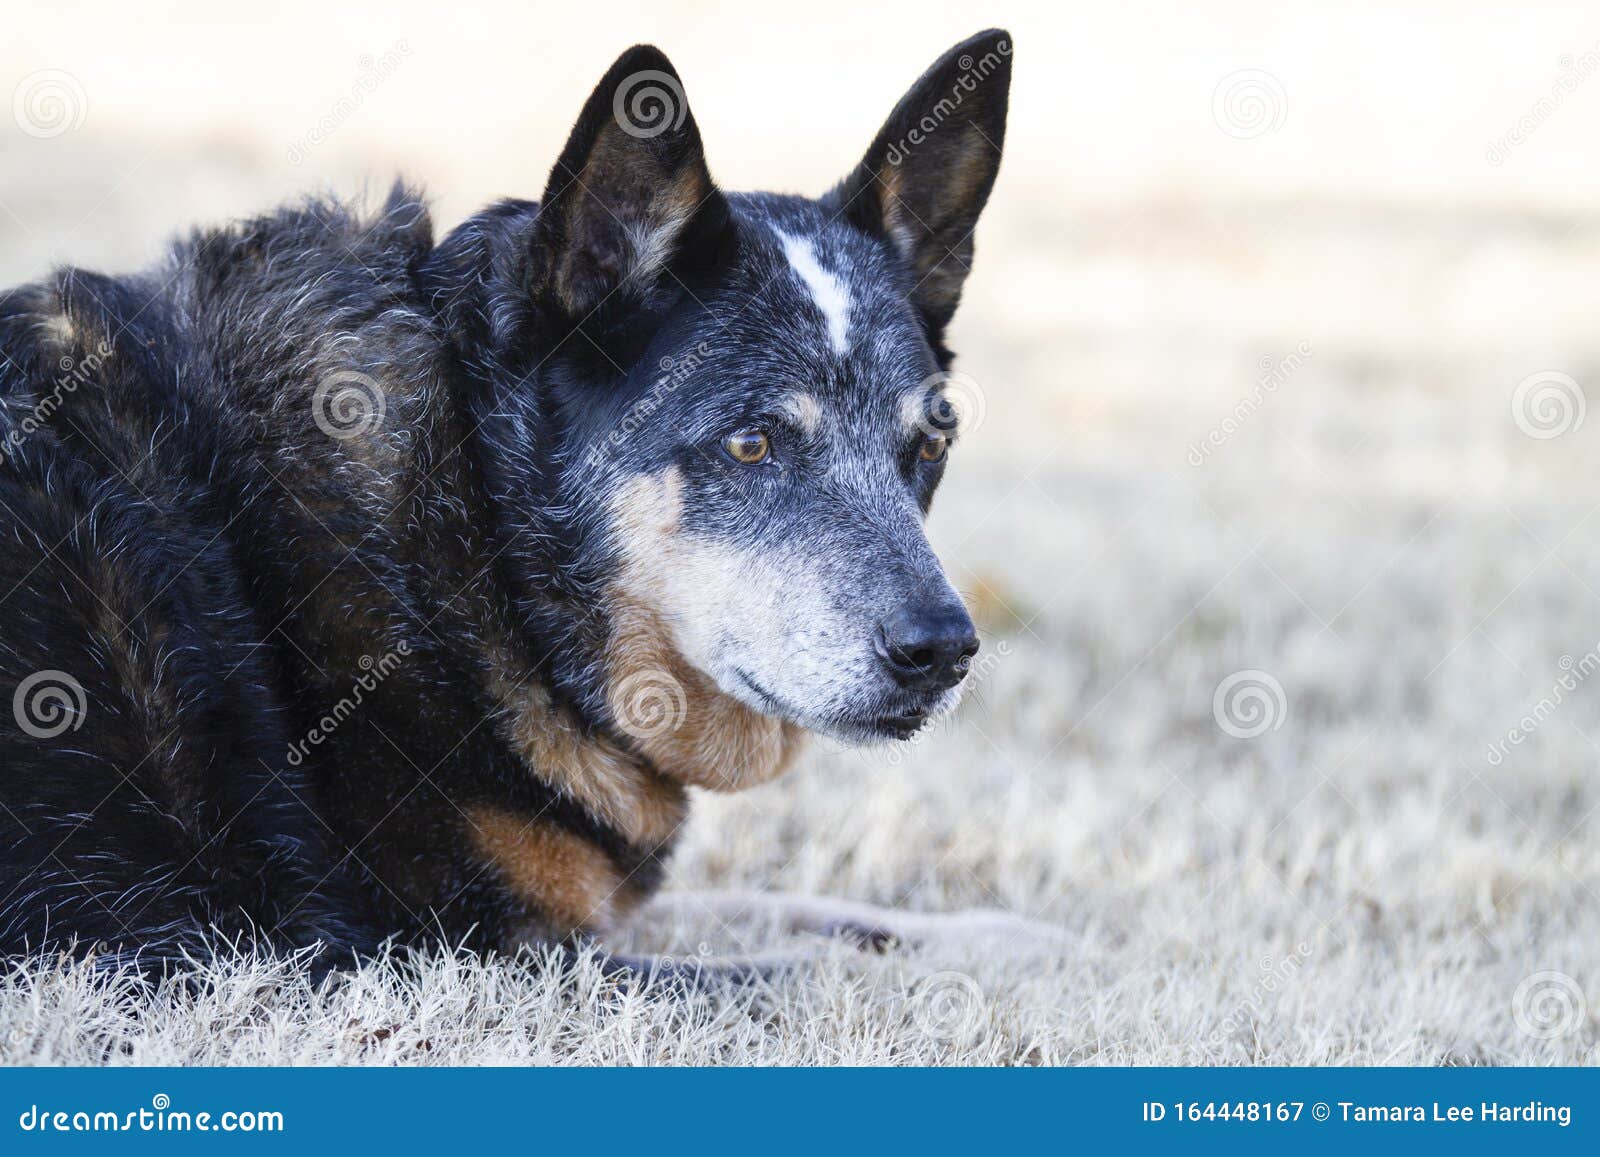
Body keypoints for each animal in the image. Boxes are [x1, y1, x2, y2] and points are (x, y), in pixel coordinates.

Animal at [0, 29, 1049, 979]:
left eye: (930, 445)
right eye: (752, 442)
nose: (942, 650)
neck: (475, 518)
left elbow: (785, 908)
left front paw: (1005, 934)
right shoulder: (445, 955)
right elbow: (808, 969)